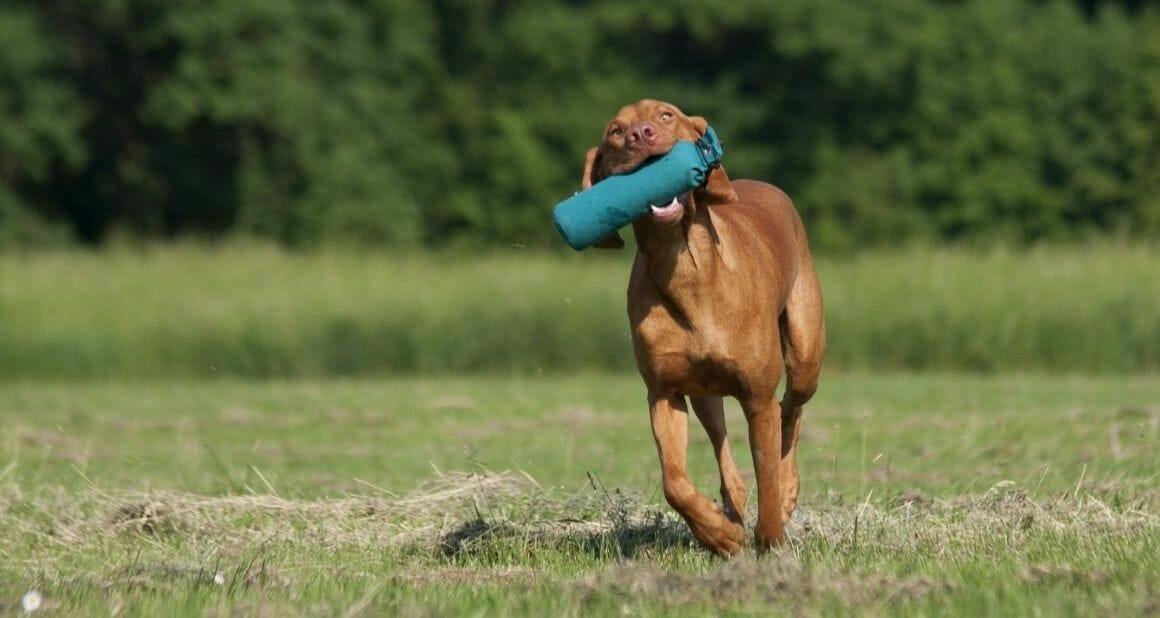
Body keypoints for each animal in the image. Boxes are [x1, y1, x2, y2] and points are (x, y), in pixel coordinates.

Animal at [580, 99, 825, 554]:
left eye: (666, 115)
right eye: (616, 131)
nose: (640, 134)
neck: (683, 263)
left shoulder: (757, 397)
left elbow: (766, 471)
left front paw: (770, 539)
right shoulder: (664, 393)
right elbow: (674, 483)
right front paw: (720, 535)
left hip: (805, 355)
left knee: (791, 411)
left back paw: (787, 493)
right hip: (704, 393)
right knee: (723, 445)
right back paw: (730, 510)